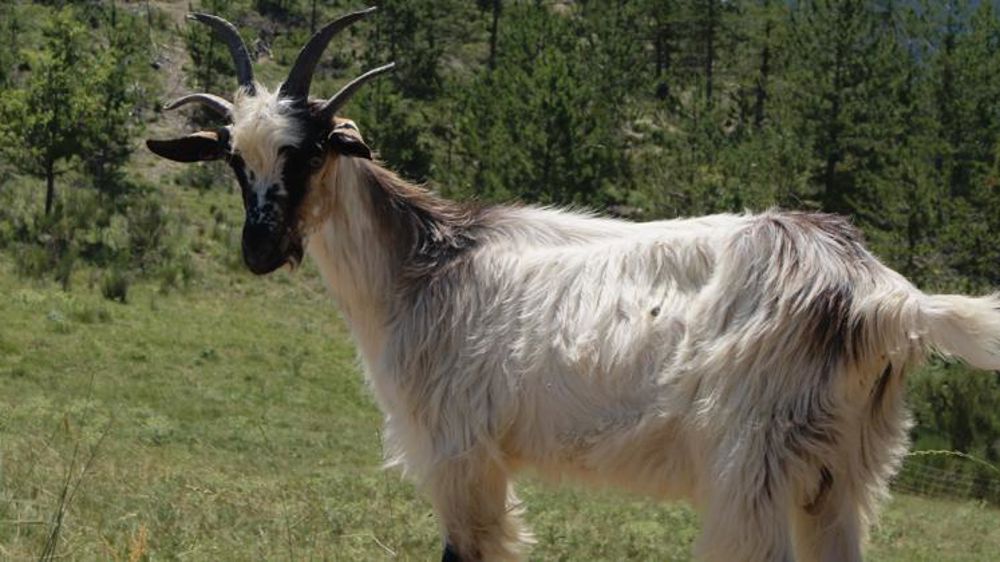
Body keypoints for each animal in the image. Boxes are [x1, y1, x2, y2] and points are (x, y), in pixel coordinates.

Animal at [147, 9, 1000, 562]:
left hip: (750, 462)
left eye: (312, 148)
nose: (261, 247)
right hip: (842, 473)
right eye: (234, 157)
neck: (422, 266)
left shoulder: (461, 449)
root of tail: (873, 290)